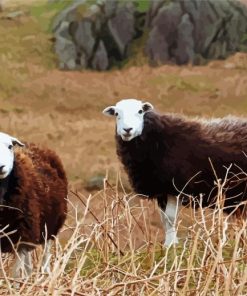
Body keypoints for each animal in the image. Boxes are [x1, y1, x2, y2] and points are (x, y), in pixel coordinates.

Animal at [0, 132, 67, 278]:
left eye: (10, 146)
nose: (1, 167)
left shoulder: (22, 237)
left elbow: (14, 275)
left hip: (49, 228)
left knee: (45, 258)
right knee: (28, 265)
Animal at [103, 98, 247, 246]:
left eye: (140, 111)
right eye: (116, 113)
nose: (127, 130)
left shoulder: (175, 188)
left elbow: (170, 217)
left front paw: (171, 244)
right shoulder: (161, 190)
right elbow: (164, 219)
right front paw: (169, 243)